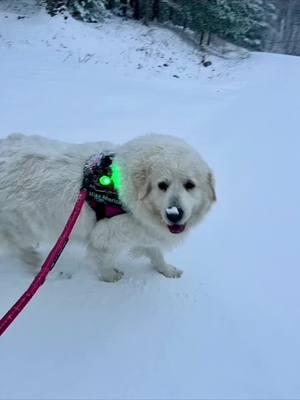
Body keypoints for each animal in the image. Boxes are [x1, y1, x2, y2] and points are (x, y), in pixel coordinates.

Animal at [0, 134, 216, 282]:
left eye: (190, 185)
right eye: (162, 185)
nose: (174, 214)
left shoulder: (145, 230)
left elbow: (156, 254)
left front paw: (167, 271)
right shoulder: (104, 235)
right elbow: (103, 259)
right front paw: (110, 277)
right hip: (19, 223)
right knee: (18, 245)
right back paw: (37, 265)